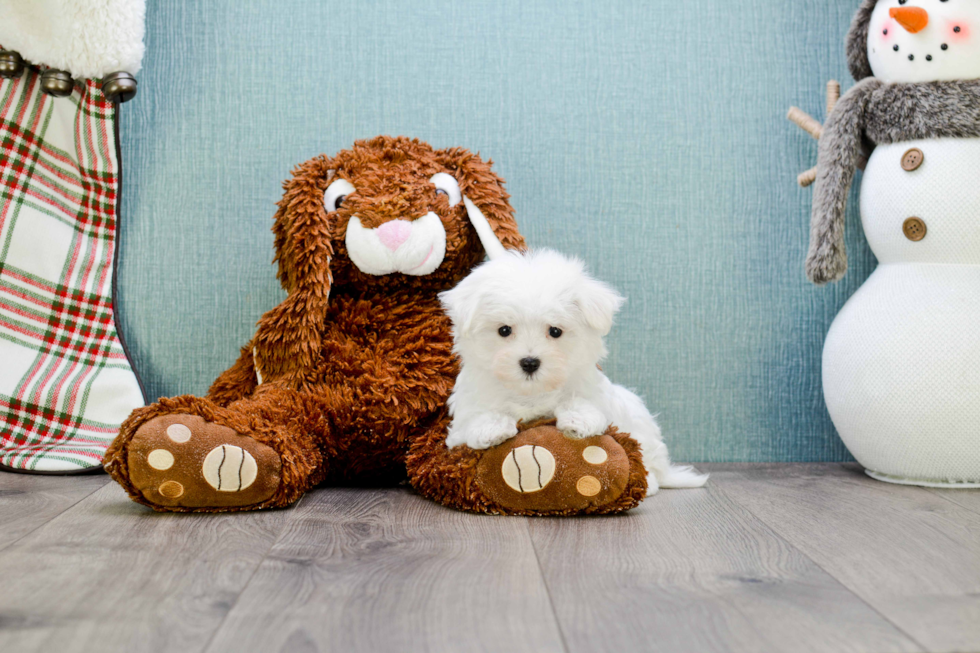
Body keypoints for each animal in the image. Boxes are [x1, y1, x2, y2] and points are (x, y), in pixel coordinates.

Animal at [440, 248, 708, 488]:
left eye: (555, 331)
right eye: (504, 330)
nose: (529, 362)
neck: (532, 393)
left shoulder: (594, 394)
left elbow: (582, 401)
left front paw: (579, 420)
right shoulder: (461, 422)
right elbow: (476, 417)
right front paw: (492, 428)